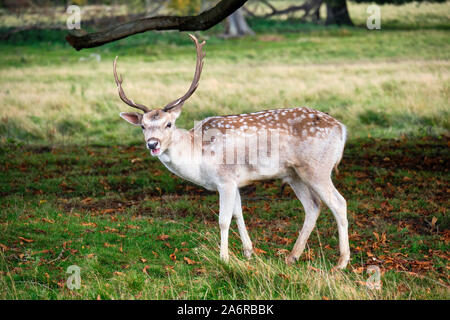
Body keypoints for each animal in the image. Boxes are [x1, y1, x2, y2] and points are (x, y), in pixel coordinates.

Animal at [114, 34, 350, 270]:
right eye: (142, 126)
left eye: (169, 124)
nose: (152, 144)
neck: (197, 158)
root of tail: (341, 128)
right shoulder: (235, 180)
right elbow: (238, 214)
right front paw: (248, 252)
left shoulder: (225, 178)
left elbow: (223, 220)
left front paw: (224, 259)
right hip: (293, 174)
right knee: (313, 206)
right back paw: (292, 256)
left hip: (317, 167)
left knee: (339, 203)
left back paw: (341, 263)